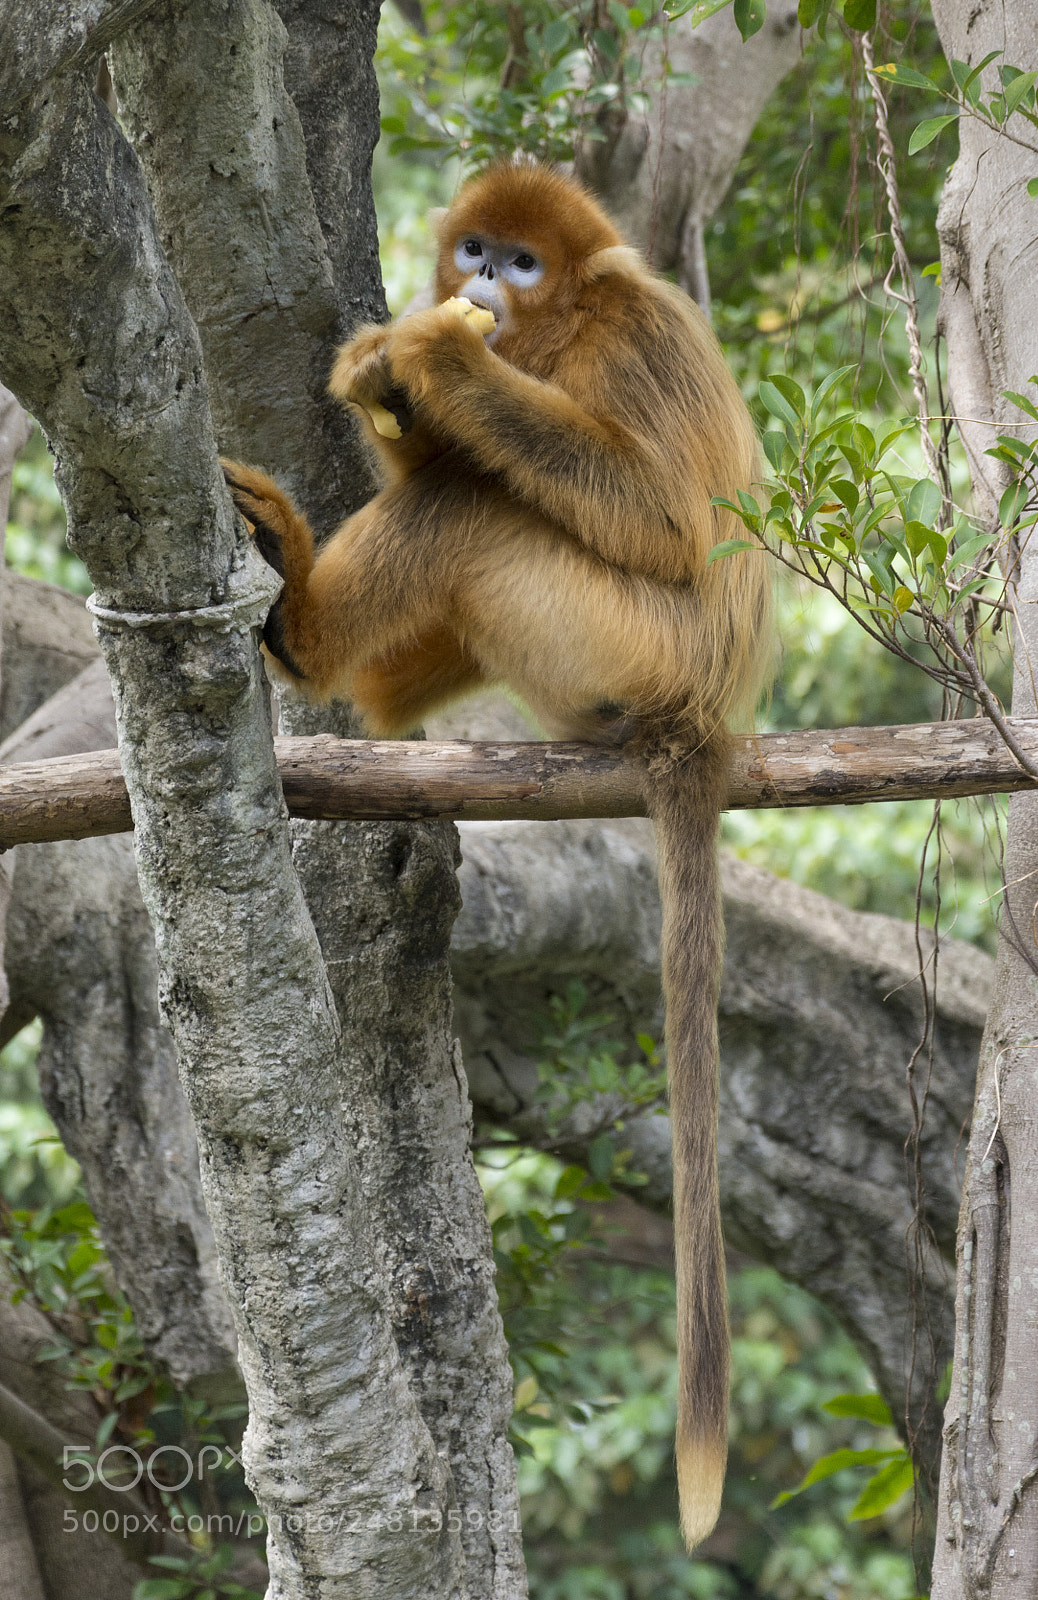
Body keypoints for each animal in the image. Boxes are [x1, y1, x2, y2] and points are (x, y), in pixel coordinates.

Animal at [222, 158, 770, 1549]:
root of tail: (705, 715)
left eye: (521, 265)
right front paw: (384, 373)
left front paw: (434, 359)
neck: (557, 334)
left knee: (474, 500)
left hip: (621, 638)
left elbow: (666, 518)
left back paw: (306, 631)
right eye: (475, 249)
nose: (478, 284)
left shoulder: (638, 337)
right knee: (457, 502)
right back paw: (342, 664)